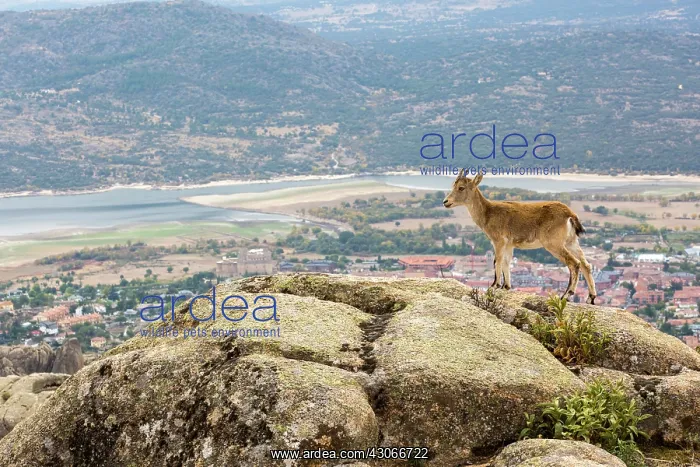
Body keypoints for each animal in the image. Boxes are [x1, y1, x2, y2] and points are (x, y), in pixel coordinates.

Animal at [443, 170, 596, 304]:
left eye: (461, 188)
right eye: (453, 186)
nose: (445, 201)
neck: (488, 213)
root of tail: (570, 215)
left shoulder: (498, 241)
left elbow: (497, 261)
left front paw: (494, 285)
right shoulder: (509, 244)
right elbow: (506, 262)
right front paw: (506, 286)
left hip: (554, 244)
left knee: (574, 263)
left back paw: (566, 295)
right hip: (571, 242)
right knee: (586, 264)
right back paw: (591, 298)